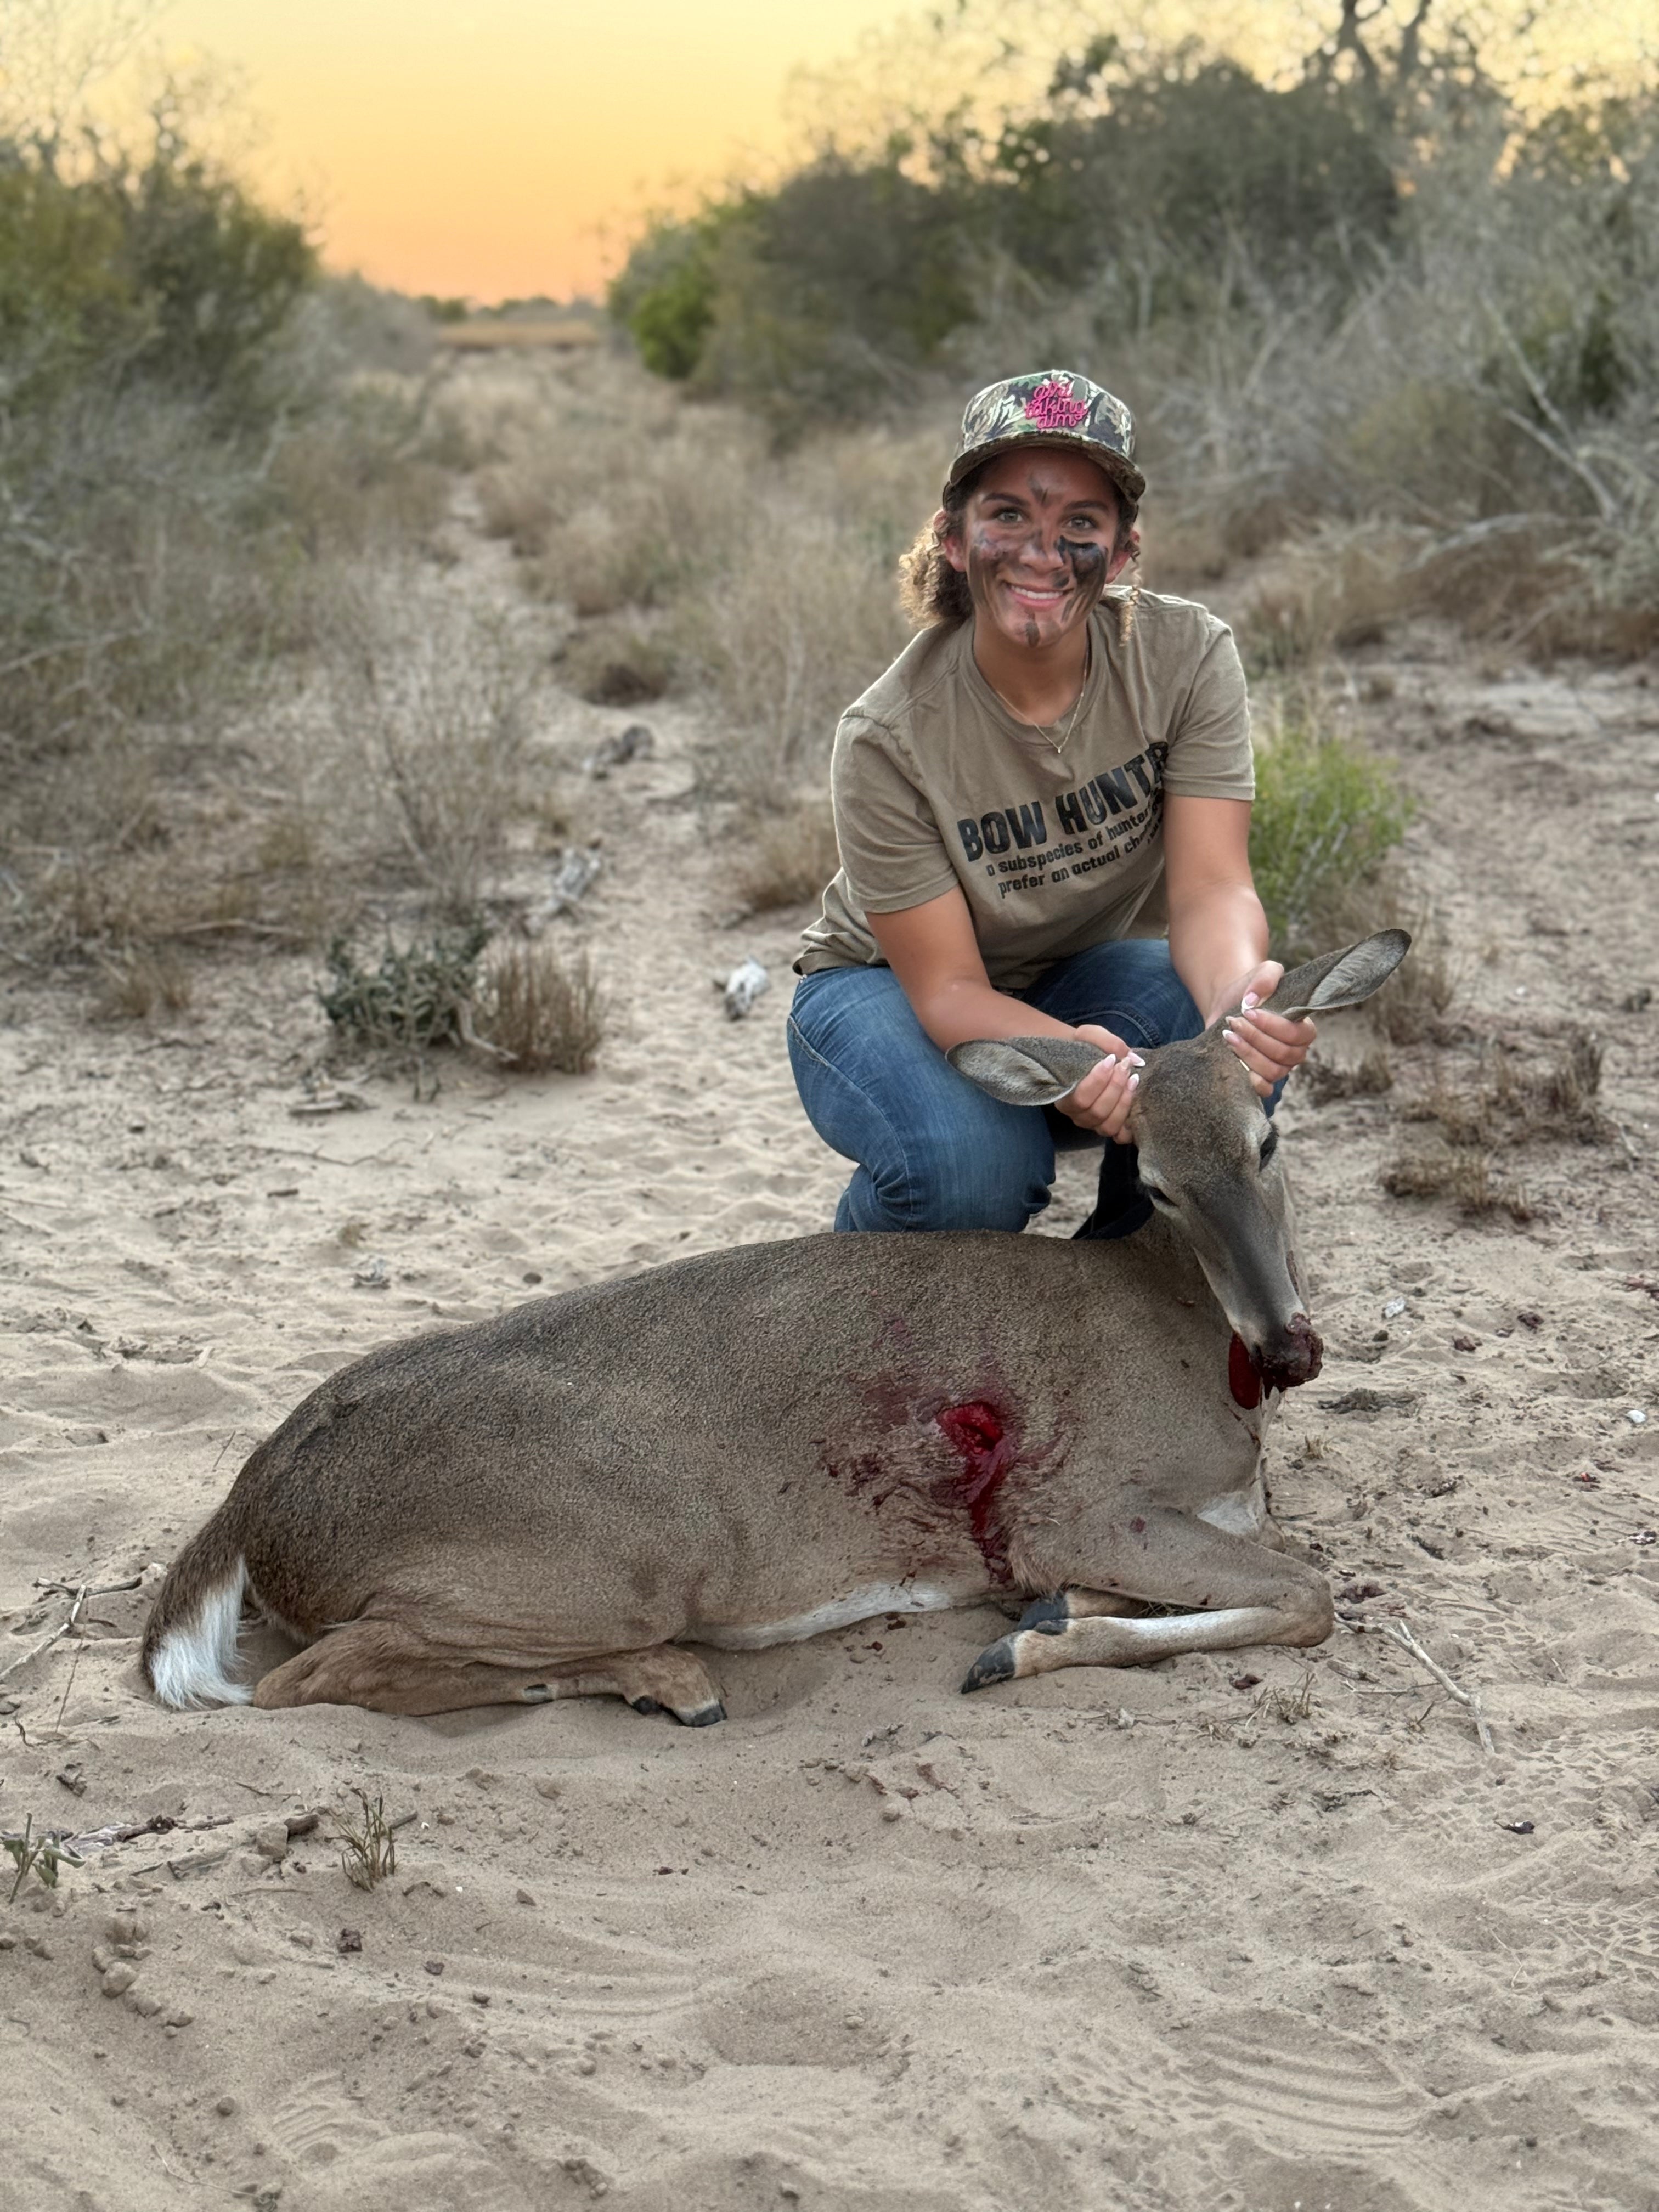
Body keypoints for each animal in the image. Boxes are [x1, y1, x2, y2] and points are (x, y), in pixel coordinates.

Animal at [142, 930, 1409, 1724]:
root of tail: (260, 1498)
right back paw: (661, 1680)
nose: (1290, 1345)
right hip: (610, 1555)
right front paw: (1021, 1647)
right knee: (311, 1677)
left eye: (1267, 1139)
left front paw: (1041, 1619)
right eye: (1154, 1180)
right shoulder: (1073, 1499)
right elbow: (1306, 1597)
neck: (1187, 1332)